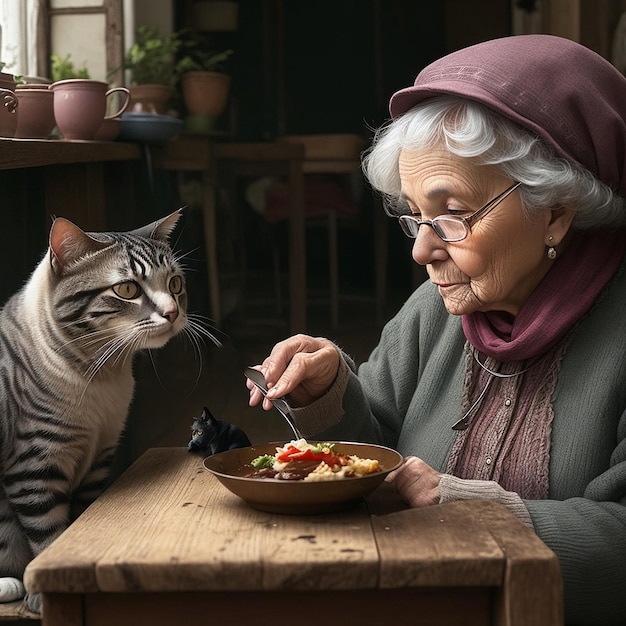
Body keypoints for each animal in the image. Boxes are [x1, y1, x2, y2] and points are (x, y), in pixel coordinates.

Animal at [0, 210, 204, 608]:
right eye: (127, 290)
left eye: (175, 283)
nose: (173, 312)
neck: (102, 375)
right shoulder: (34, 464)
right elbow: (48, 533)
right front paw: (44, 596)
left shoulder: (98, 459)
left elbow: (78, 520)